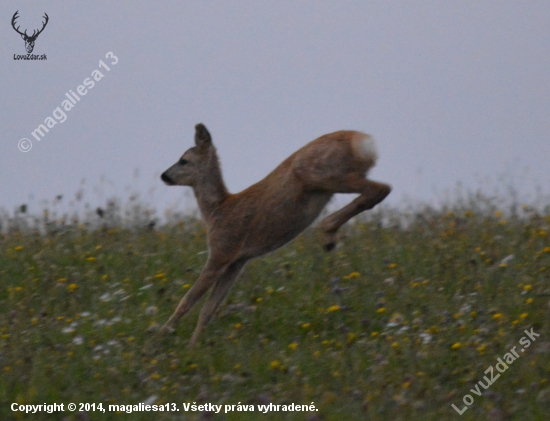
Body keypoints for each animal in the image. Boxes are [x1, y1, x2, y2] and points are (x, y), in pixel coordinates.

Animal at [160, 124, 392, 344]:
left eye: (184, 160)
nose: (164, 175)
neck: (217, 210)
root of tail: (363, 140)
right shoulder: (237, 261)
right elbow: (209, 309)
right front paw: (192, 347)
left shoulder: (222, 250)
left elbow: (187, 301)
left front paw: (159, 338)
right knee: (382, 188)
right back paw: (329, 233)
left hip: (320, 173)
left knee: (379, 188)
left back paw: (327, 229)